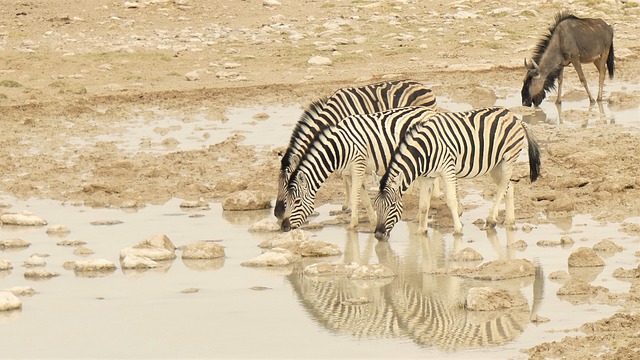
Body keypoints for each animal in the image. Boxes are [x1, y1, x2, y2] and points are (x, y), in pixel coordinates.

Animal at [272, 80, 438, 221]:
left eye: (287, 184)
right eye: (278, 181)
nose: (277, 213)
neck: (333, 115)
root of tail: (424, 86)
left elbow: (348, 179)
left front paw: (350, 205)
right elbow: (346, 177)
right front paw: (348, 204)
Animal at [376, 107, 540, 242]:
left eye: (392, 205)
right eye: (376, 205)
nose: (377, 235)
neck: (423, 152)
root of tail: (515, 117)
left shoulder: (447, 168)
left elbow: (451, 200)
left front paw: (458, 229)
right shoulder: (426, 177)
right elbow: (423, 205)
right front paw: (421, 231)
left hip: (508, 159)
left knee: (502, 188)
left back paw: (491, 219)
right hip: (495, 164)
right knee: (508, 186)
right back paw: (509, 221)